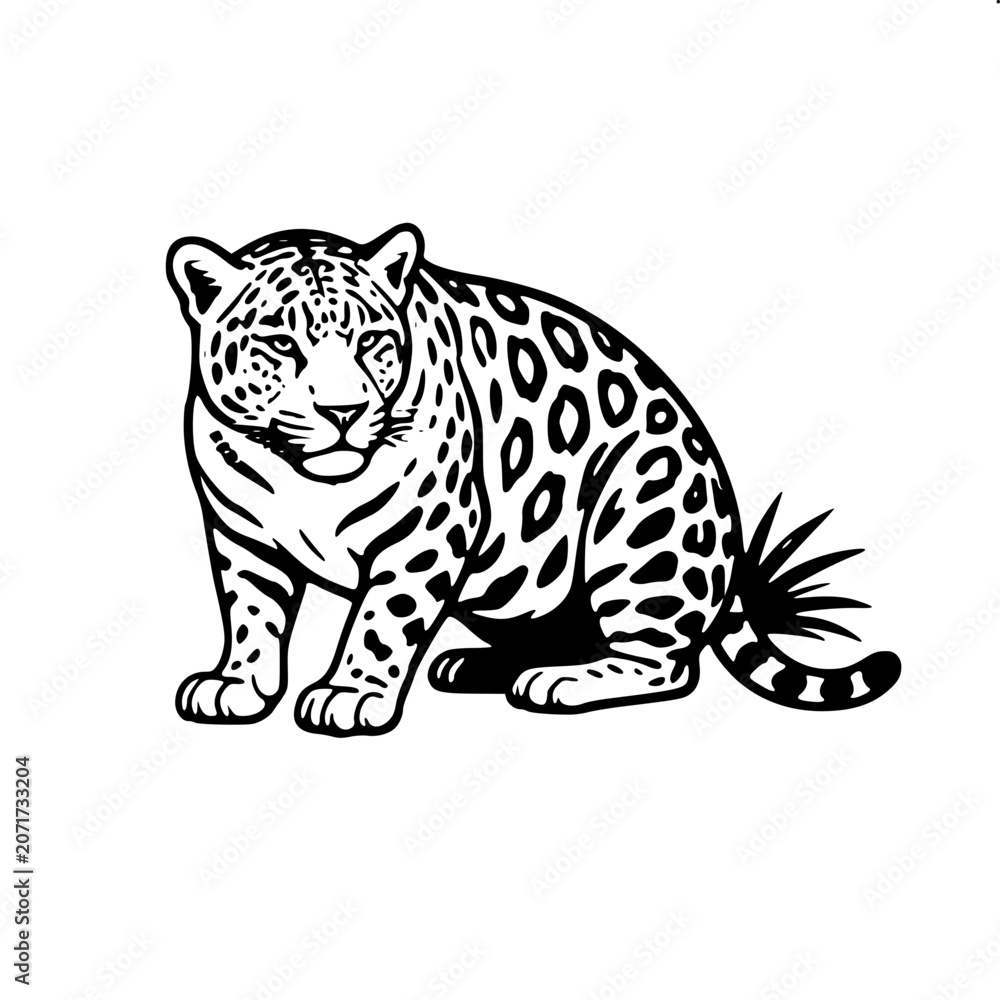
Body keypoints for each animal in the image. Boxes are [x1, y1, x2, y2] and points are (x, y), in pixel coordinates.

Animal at [166, 223, 900, 737]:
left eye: (371, 340)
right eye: (279, 345)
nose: (343, 413)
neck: (305, 480)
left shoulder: (425, 534)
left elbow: (380, 621)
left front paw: (351, 693)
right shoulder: (241, 536)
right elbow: (251, 614)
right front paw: (238, 684)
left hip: (642, 524)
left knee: (669, 663)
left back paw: (561, 682)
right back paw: (480, 664)